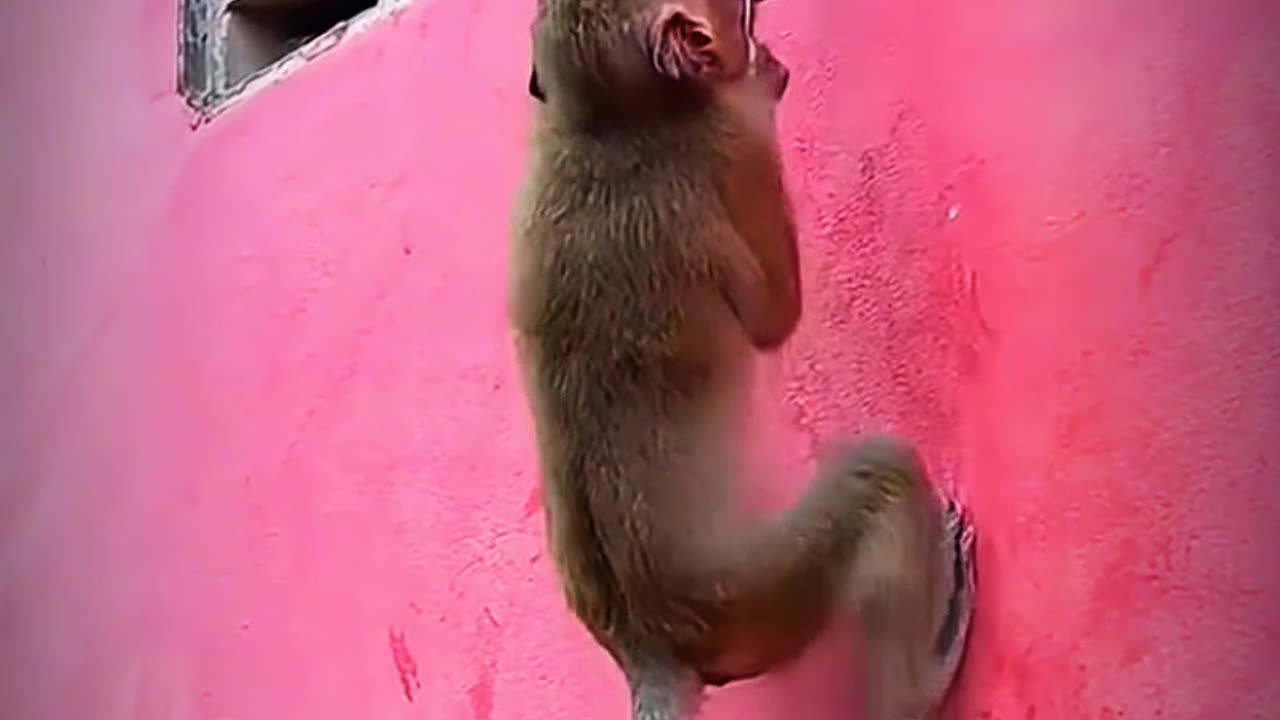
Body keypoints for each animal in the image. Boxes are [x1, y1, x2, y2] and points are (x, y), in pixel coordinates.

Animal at [508, 0, 977, 717]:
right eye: (745, 18)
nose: (760, 47)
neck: (608, 123)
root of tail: (647, 646)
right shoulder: (731, 142)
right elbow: (773, 320)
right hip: (756, 600)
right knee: (879, 476)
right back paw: (920, 683)